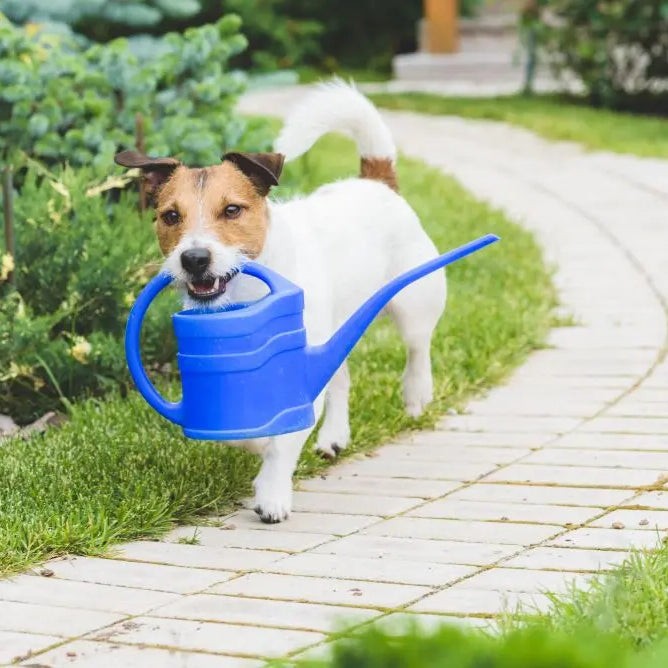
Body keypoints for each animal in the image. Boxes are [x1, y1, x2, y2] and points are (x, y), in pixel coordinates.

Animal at [115, 82, 446, 520]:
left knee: (417, 345)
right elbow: (249, 429)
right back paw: (335, 435)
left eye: (232, 210)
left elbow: (283, 442)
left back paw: (415, 393)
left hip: (413, 301)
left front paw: (271, 493)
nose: (194, 258)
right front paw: (255, 441)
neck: (245, 291)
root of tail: (377, 181)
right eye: (171, 216)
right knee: (342, 377)